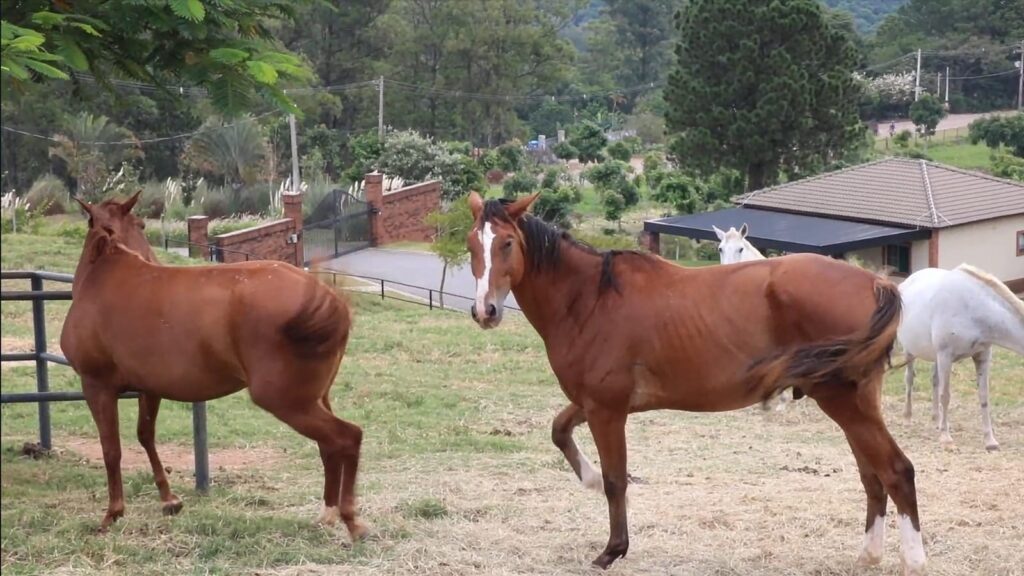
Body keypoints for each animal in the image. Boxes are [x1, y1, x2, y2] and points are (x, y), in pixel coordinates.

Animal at [58, 191, 366, 537]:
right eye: (140, 224)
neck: (104, 273)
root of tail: (328, 299)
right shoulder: (150, 389)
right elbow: (144, 435)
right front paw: (169, 499)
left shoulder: (96, 386)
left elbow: (111, 449)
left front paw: (113, 513)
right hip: (316, 398)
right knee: (329, 446)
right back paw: (329, 513)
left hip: (288, 402)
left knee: (347, 437)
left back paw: (350, 519)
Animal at [466, 192, 929, 573]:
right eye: (472, 245)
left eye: (507, 243)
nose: (485, 311)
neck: (590, 299)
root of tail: (876, 282)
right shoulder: (594, 403)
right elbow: (560, 431)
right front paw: (590, 480)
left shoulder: (606, 410)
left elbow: (617, 479)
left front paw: (613, 549)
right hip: (855, 404)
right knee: (872, 476)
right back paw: (869, 555)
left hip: (843, 401)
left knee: (896, 470)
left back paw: (914, 560)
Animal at [901, 264, 1019, 448]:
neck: (972, 307)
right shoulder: (945, 355)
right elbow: (945, 396)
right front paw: (946, 438)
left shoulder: (982, 355)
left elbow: (984, 397)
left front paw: (990, 440)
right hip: (910, 351)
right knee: (909, 379)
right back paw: (907, 419)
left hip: (935, 356)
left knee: (934, 381)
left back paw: (936, 420)